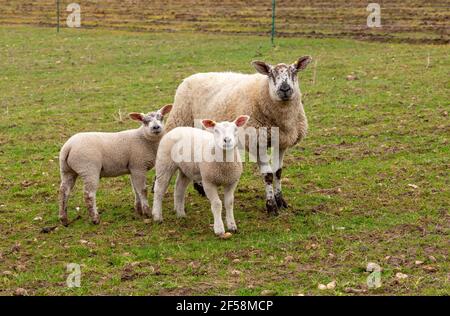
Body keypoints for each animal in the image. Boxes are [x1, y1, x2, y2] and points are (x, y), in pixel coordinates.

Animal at [165, 56, 312, 215]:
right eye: (271, 74)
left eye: (294, 72)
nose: (285, 89)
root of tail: (190, 77)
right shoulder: (256, 142)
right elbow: (268, 175)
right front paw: (271, 205)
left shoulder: (281, 142)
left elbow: (278, 172)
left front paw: (280, 201)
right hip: (179, 120)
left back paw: (200, 188)